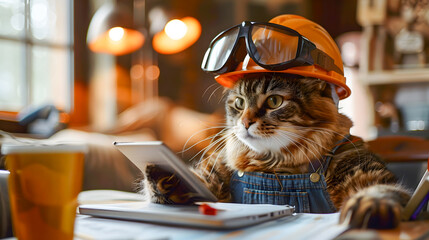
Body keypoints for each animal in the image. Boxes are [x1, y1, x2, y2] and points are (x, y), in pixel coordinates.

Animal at [141, 73, 412, 229]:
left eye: (274, 101)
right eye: (239, 103)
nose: (245, 122)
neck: (275, 166)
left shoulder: (366, 174)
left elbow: (383, 190)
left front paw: (371, 205)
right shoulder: (212, 182)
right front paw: (165, 171)